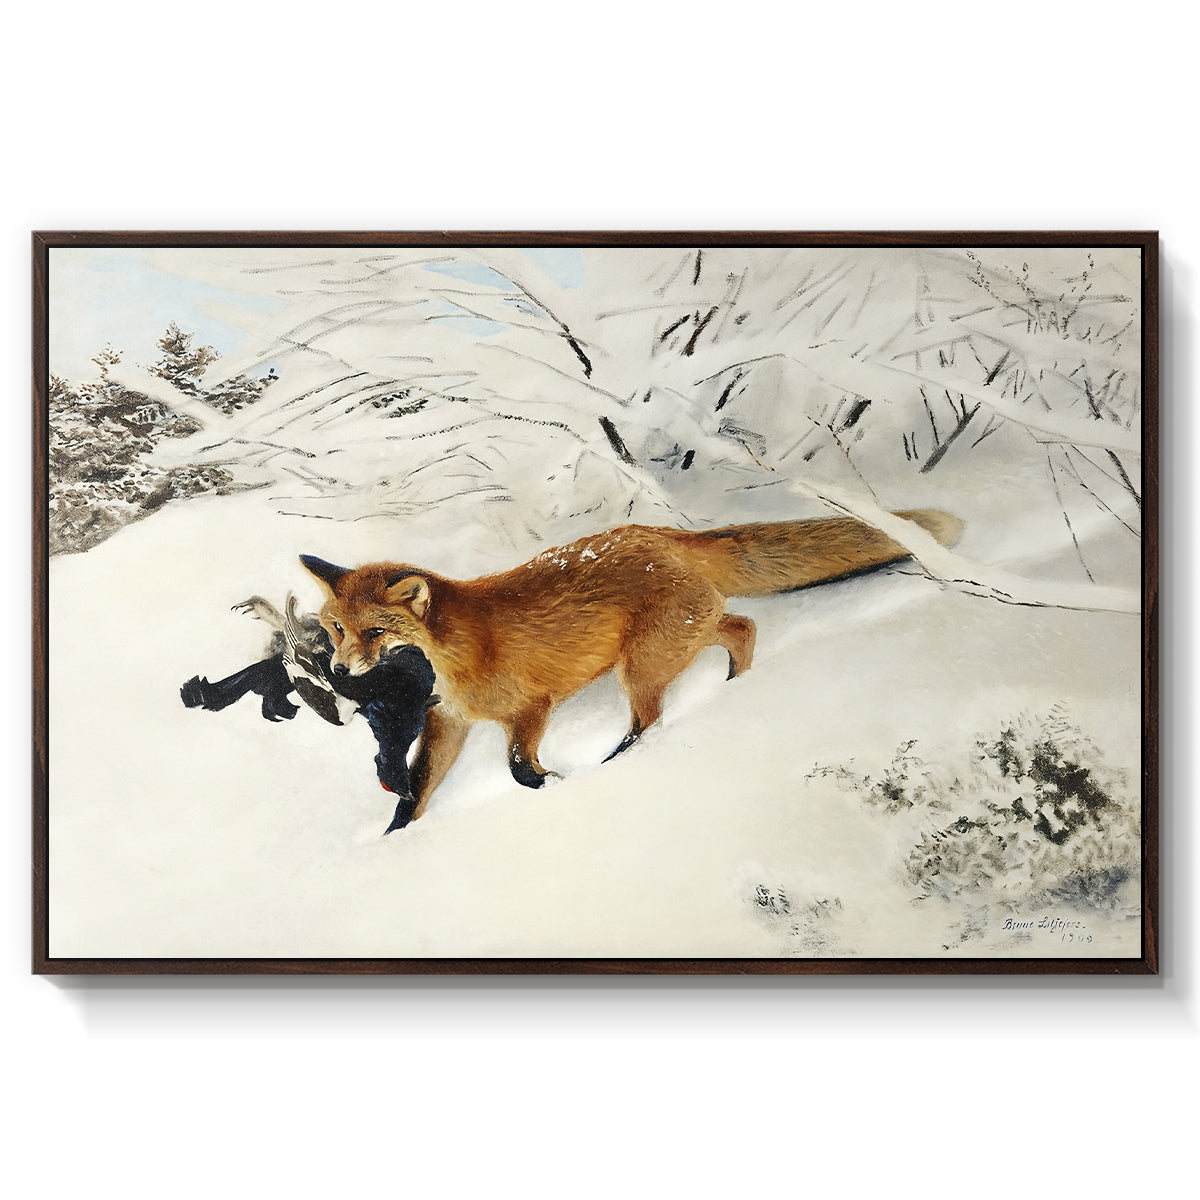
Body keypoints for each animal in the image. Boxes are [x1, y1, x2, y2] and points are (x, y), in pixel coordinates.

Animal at [301, 509, 962, 828]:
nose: (340, 668)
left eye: (375, 633)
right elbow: (415, 793)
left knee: (651, 720)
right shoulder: (449, 722)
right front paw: (394, 840)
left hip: (641, 667)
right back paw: (735, 688)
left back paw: (622, 761)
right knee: (743, 628)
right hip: (678, 640)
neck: (456, 653)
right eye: (336, 629)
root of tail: (661, 534)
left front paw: (556, 785)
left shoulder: (531, 708)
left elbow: (518, 769)